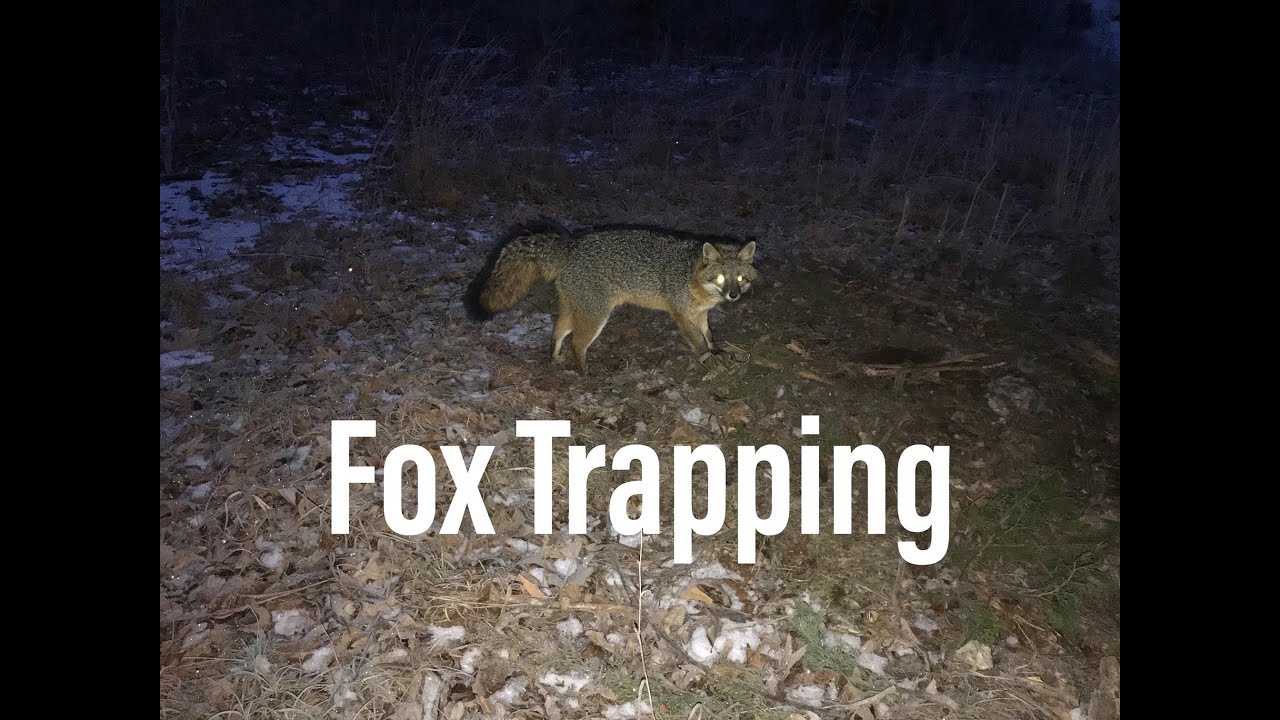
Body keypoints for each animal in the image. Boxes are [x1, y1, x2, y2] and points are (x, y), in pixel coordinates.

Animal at [464, 220, 758, 373]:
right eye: (720, 279)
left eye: (739, 279)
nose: (733, 296)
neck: (690, 275)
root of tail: (573, 245)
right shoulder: (682, 315)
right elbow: (697, 340)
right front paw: (708, 360)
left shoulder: (701, 314)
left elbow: (708, 334)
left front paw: (716, 350)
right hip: (596, 317)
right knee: (577, 343)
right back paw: (584, 371)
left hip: (576, 311)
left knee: (557, 333)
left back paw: (556, 359)